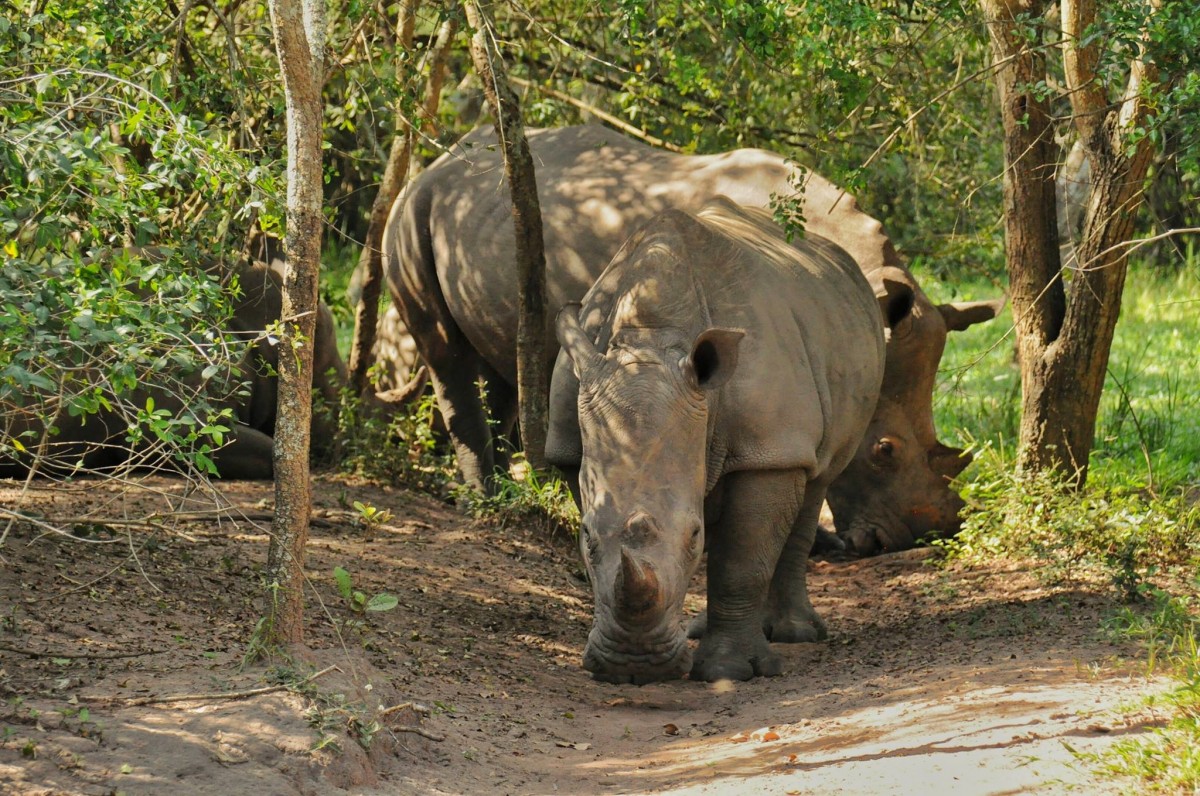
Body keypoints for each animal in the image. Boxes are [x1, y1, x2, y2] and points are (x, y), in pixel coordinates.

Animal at [383, 124, 1002, 552]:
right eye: (884, 451)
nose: (913, 540)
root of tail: (436, 161)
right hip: (410, 213)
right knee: (446, 356)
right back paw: (484, 502)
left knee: (502, 368)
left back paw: (510, 491)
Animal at [549, 199, 888, 683]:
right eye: (584, 535)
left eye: (693, 535)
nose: (635, 667)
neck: (651, 340)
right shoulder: (576, 447)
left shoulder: (772, 447)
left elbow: (743, 561)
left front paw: (728, 671)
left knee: (816, 480)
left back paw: (795, 634)